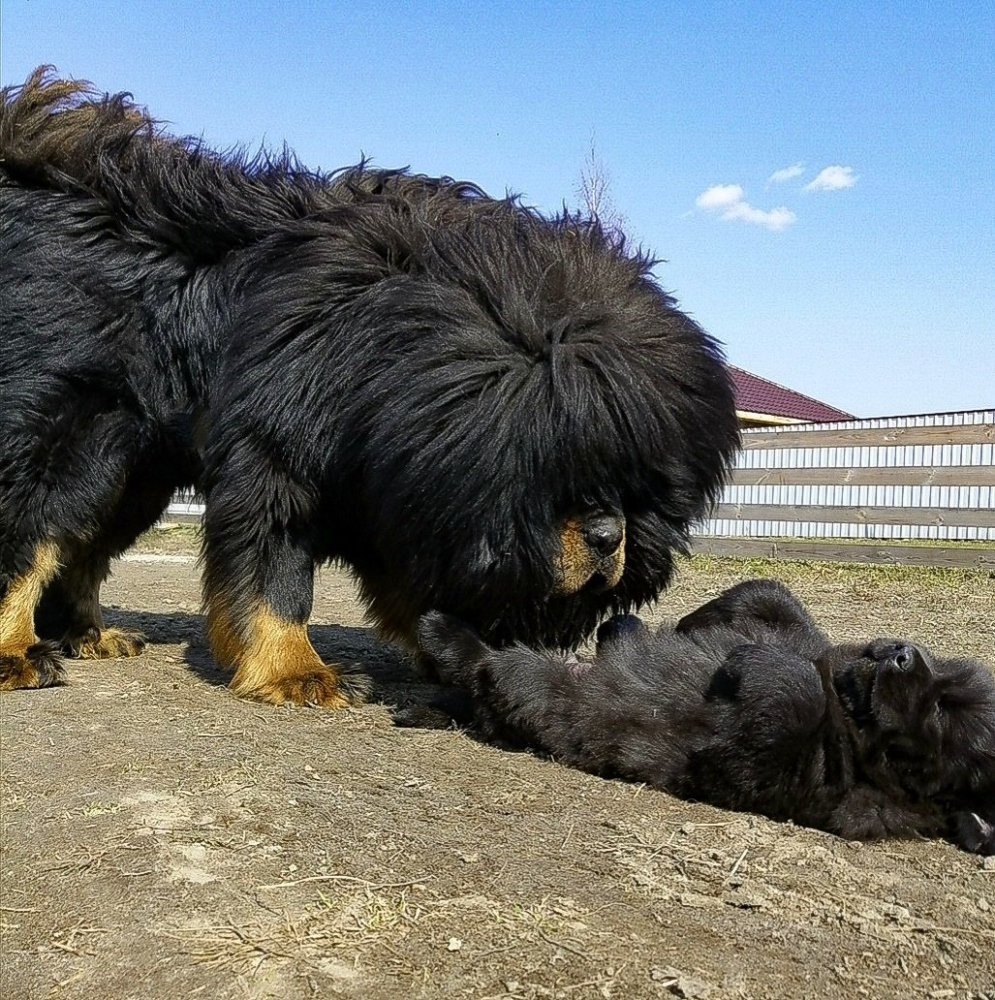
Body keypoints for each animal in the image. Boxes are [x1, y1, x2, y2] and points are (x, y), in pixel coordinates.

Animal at [0, 70, 740, 708]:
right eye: (557, 471)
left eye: (634, 482)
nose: (609, 536)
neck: (385, 355)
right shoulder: (276, 460)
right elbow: (275, 579)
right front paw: (294, 671)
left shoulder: (390, 488)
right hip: (75, 442)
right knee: (31, 535)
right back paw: (18, 653)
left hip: (133, 473)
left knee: (83, 549)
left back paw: (90, 636)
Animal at [402, 580, 995, 852]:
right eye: (943, 678)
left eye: (941, 712)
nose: (902, 653)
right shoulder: (805, 636)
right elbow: (772, 598)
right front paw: (685, 625)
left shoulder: (772, 771)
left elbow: (794, 695)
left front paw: (756, 662)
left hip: (535, 686)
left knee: (489, 668)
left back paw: (442, 633)